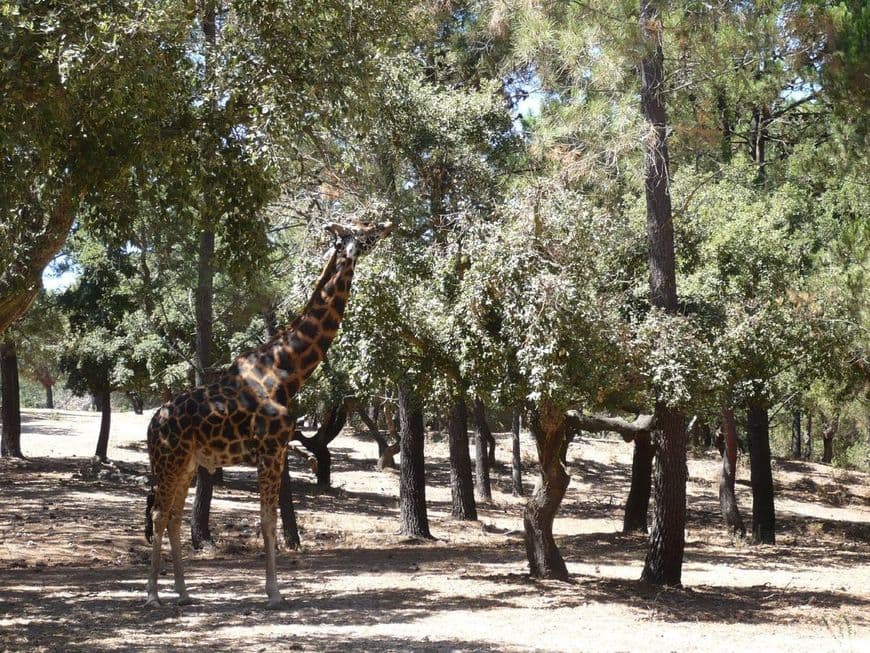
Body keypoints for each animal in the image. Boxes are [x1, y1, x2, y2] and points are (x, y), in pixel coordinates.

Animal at [145, 220, 394, 608]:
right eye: (363, 228)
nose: (387, 224)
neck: (287, 370)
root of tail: (151, 425)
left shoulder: (277, 452)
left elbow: (270, 518)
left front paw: (273, 589)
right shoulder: (271, 450)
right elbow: (268, 521)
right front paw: (274, 593)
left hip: (186, 464)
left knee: (172, 516)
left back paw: (184, 593)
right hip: (168, 461)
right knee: (158, 513)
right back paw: (154, 595)